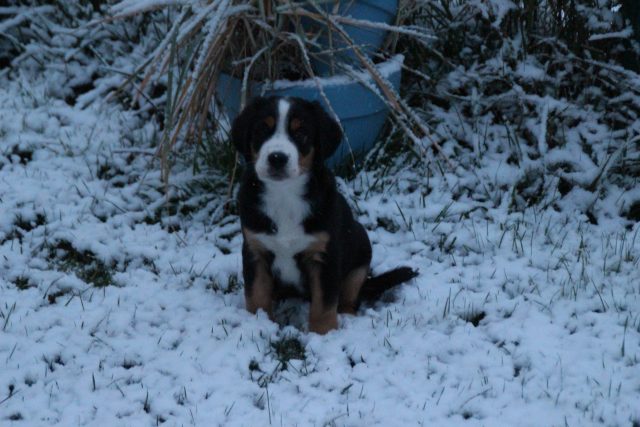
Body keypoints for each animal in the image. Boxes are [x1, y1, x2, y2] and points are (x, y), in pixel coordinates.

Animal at [232, 97, 418, 334]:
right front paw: (258, 323)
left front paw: (323, 333)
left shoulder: (325, 255)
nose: (277, 158)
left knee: (349, 297)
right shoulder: (255, 250)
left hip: (361, 249)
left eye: (301, 133)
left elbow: (324, 301)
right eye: (262, 130)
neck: (284, 195)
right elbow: (256, 293)